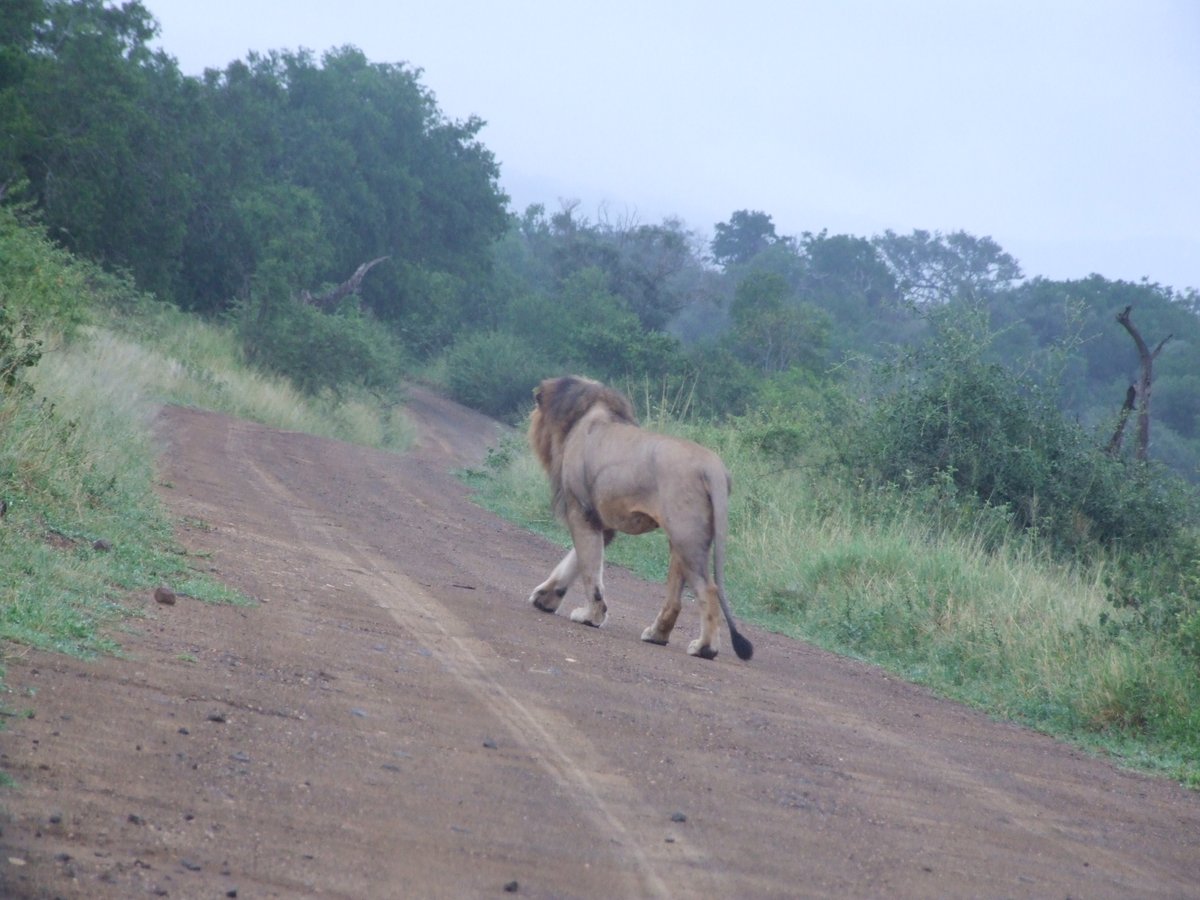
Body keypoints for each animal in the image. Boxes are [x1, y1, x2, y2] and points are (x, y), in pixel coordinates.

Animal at [525, 374, 748, 662]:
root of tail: (713, 467)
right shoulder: (601, 521)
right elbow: (575, 562)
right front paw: (546, 598)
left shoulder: (581, 512)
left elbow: (588, 568)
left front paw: (590, 616)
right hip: (684, 538)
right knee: (675, 599)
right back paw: (656, 635)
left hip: (687, 536)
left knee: (708, 590)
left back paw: (704, 648)